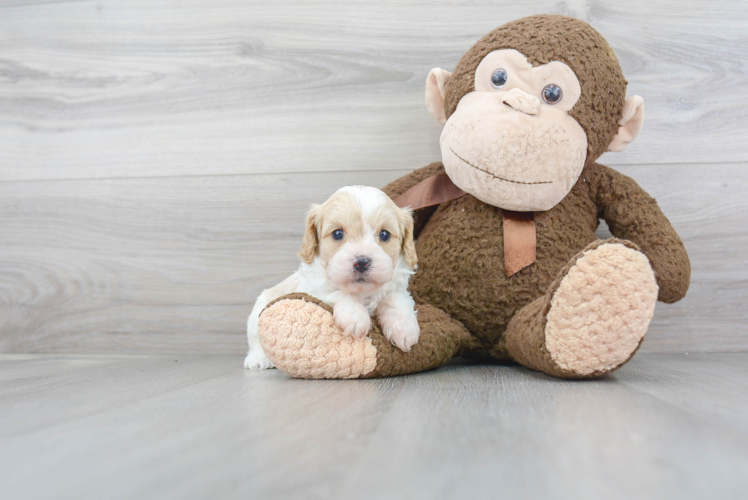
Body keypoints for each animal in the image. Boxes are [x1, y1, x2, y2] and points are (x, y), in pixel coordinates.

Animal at [245, 186, 420, 370]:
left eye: (385, 235)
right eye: (337, 234)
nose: (361, 262)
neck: (362, 292)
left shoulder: (400, 289)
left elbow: (396, 297)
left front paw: (404, 327)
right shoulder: (313, 290)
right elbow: (339, 293)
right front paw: (355, 316)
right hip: (257, 313)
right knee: (255, 338)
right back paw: (258, 359)